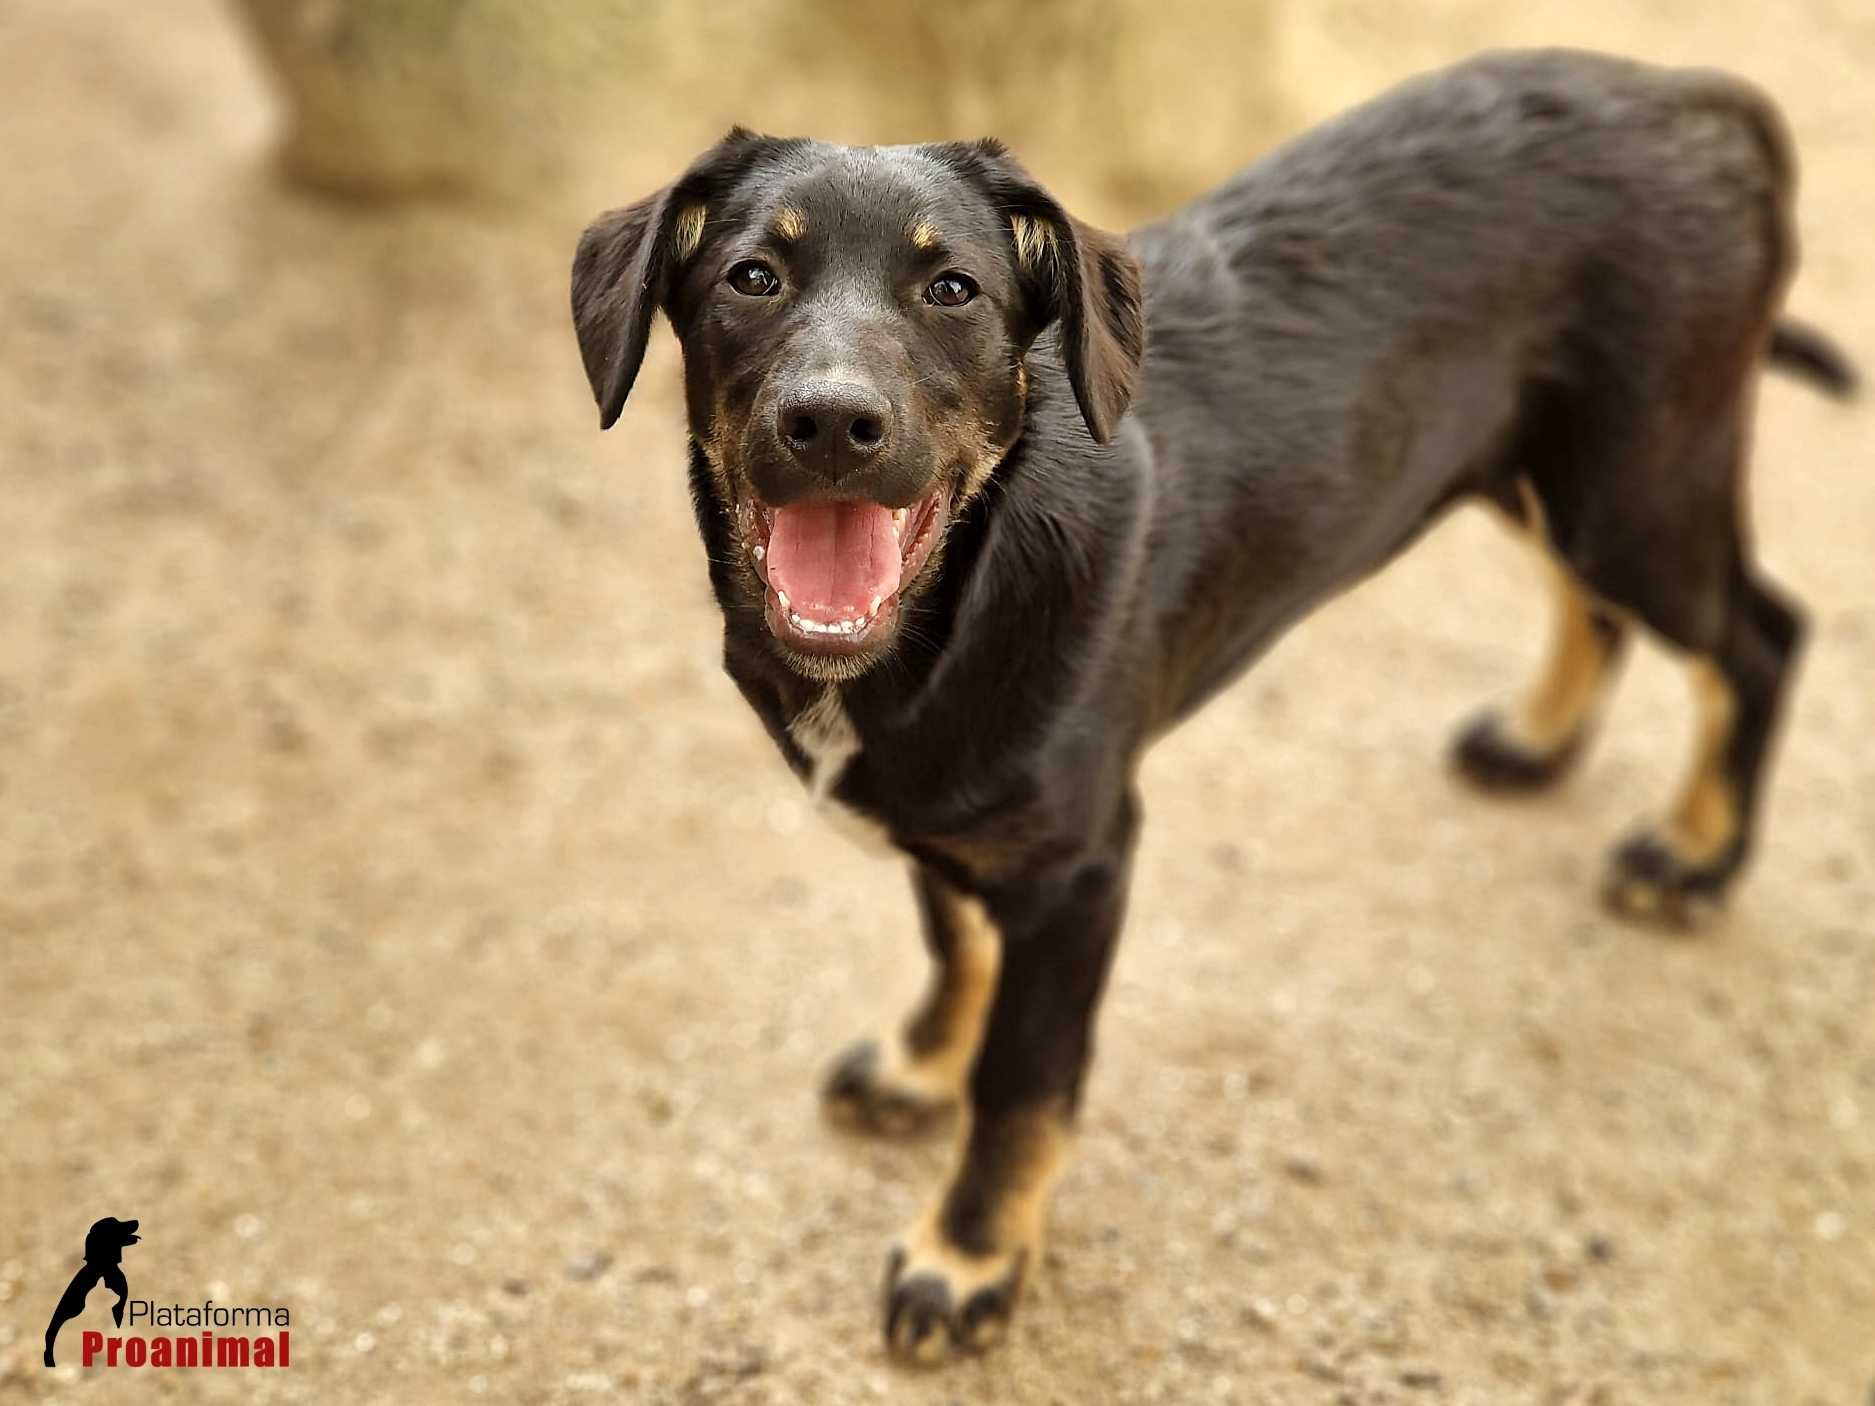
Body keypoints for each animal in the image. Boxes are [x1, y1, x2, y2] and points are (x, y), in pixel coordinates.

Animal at [562, 49, 1852, 1357]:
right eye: (752, 276)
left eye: (953, 289)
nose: (831, 422)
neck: (950, 603)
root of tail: (1701, 93)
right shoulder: (950, 808)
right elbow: (953, 936)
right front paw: (922, 1064)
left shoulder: (1082, 865)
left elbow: (1023, 1086)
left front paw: (965, 1255)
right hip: (1536, 465)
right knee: (1602, 602)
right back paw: (1537, 742)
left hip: (1640, 481)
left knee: (1762, 635)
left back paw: (1695, 856)